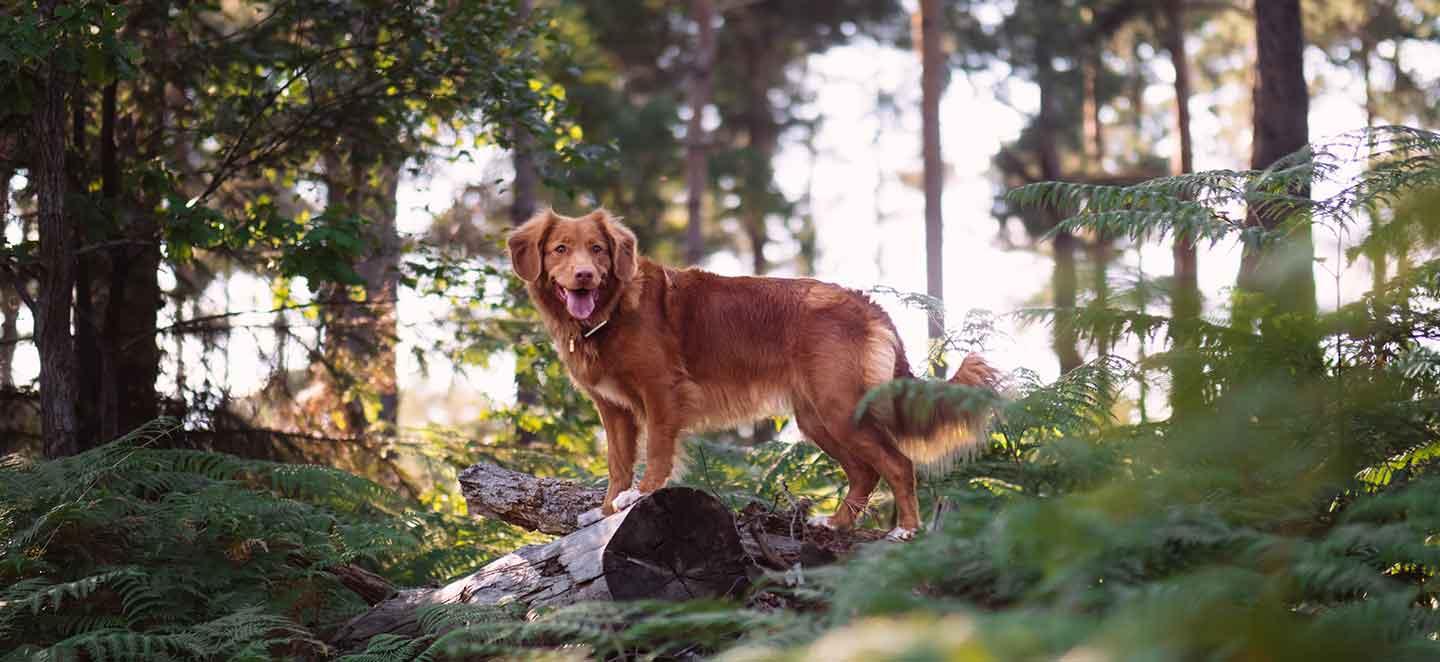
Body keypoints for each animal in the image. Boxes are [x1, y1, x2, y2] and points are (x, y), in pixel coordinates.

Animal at [509, 210, 1002, 541]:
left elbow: (657, 452)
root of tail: (867, 303)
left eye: (597, 249)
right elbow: (616, 463)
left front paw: (642, 494)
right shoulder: (612, 408)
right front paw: (607, 506)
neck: (609, 312)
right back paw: (835, 522)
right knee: (865, 472)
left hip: (840, 408)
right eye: (559, 249)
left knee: (898, 464)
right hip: (817, 418)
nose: (584, 276)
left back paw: (906, 531)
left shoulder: (661, 391)